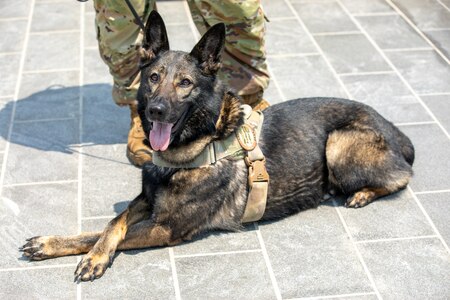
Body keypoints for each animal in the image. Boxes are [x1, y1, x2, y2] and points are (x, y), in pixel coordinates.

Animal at [21, 11, 414, 282]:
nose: (155, 110)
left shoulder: (165, 229)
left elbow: (112, 232)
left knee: (402, 175)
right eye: (153, 78)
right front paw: (55, 244)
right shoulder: (147, 199)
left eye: (185, 83)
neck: (196, 146)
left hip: (337, 144)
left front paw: (93, 258)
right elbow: (111, 224)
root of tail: (395, 129)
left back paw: (362, 193)